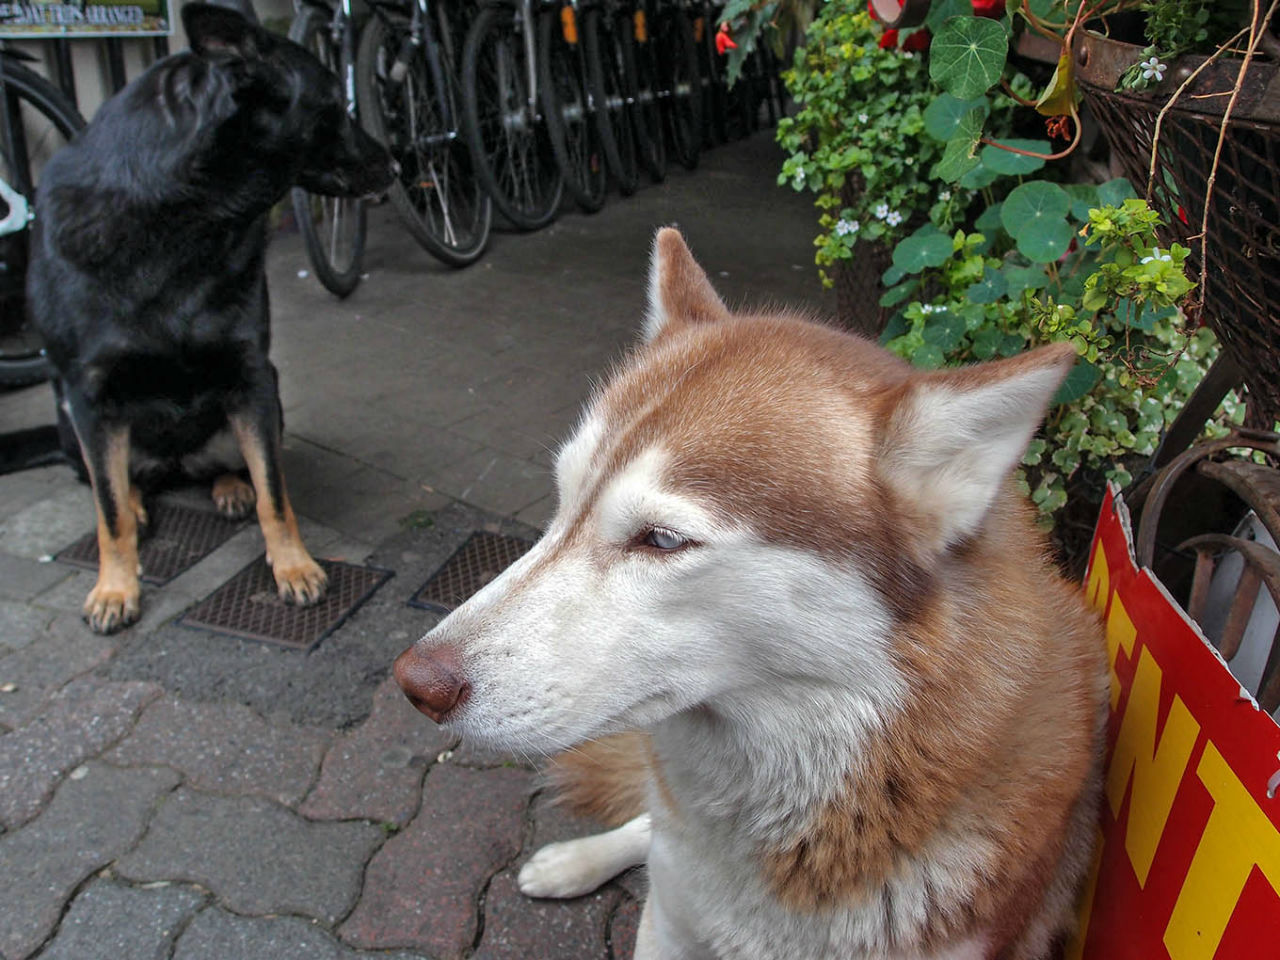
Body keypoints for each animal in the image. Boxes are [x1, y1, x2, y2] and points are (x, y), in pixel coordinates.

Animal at [30, 3, 396, 634]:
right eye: (334, 102)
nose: (395, 164)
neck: (182, 224)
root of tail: (176, 465)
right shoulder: (89, 394)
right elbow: (108, 513)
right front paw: (114, 588)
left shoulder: (251, 376)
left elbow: (275, 492)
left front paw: (294, 566)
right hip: (68, 420)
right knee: (119, 485)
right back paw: (139, 501)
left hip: (265, 402)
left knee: (230, 466)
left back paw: (230, 487)